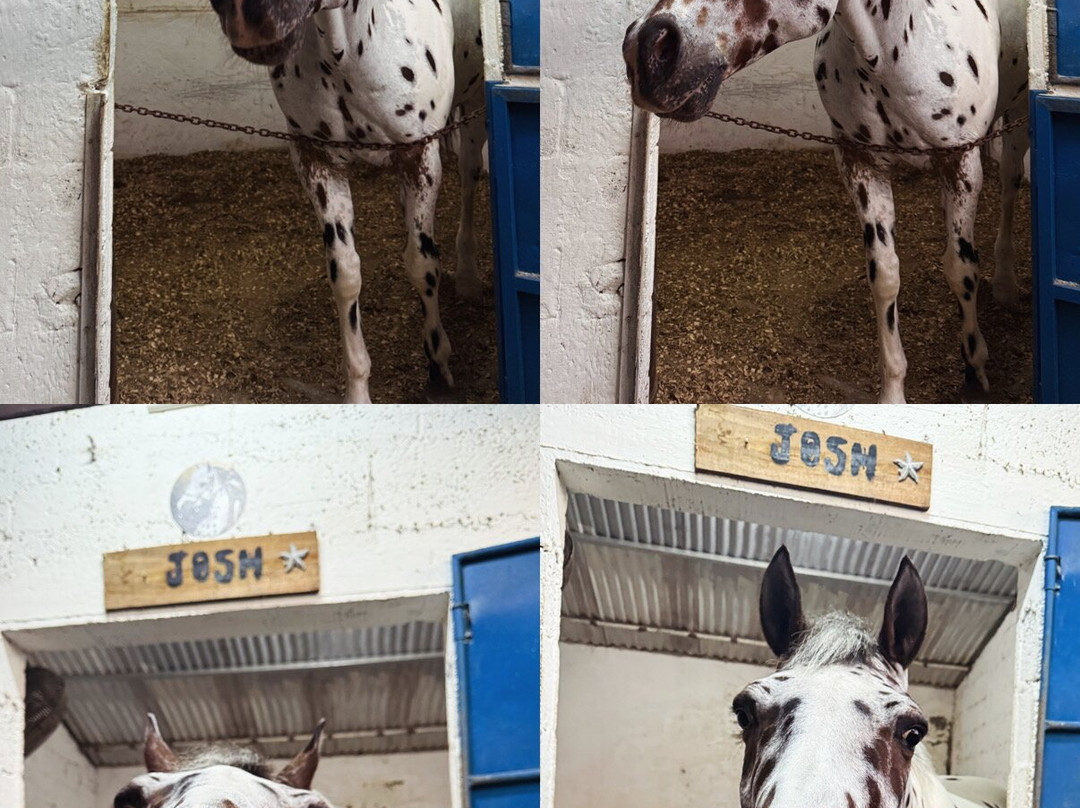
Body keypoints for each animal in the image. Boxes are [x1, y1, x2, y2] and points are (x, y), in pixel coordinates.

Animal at [205, 0, 487, 402]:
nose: (246, 17)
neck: (346, 55)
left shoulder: (420, 158)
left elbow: (422, 263)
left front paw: (437, 364)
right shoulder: (318, 165)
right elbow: (346, 273)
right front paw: (357, 394)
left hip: (473, 110)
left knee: (468, 179)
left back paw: (468, 277)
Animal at [623, 0, 1029, 403]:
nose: (644, 49)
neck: (892, 53)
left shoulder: (961, 164)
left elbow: (961, 269)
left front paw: (974, 368)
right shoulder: (861, 166)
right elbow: (885, 275)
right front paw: (893, 393)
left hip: (1017, 125)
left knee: (1009, 188)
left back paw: (1006, 284)